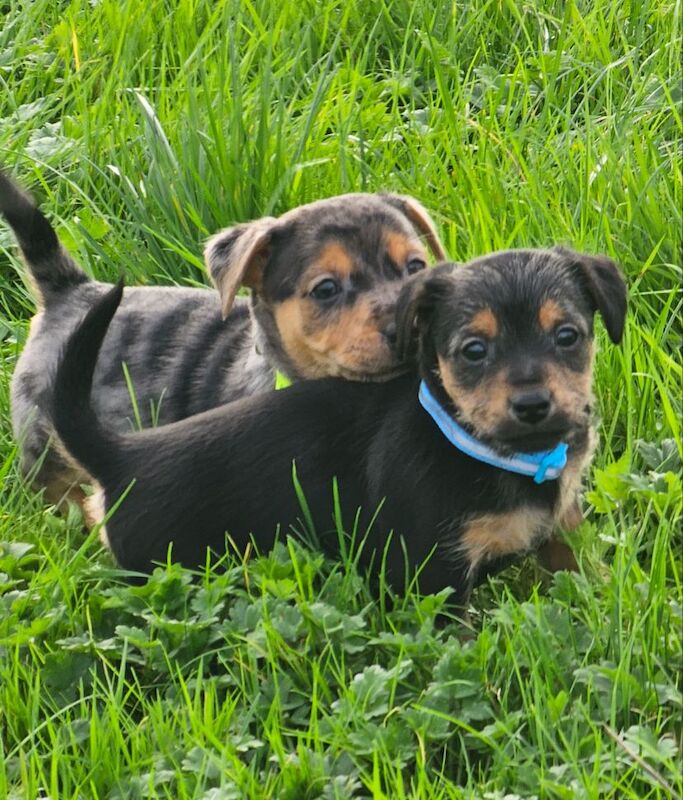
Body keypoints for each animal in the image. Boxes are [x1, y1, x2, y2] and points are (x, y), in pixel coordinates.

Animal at [46, 247, 624, 604]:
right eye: (474, 351)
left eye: (568, 336)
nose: (532, 404)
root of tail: (121, 457)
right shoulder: (431, 577)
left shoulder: (561, 529)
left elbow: (581, 571)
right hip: (170, 570)